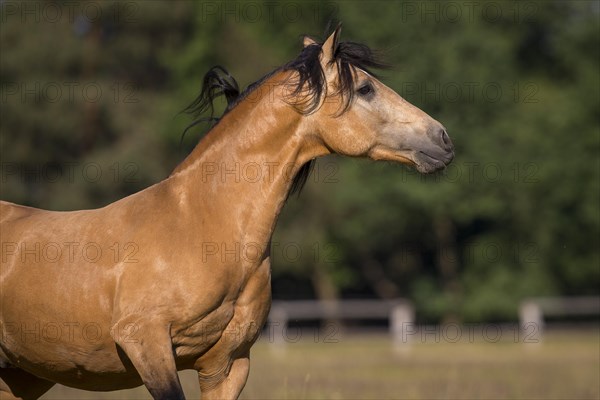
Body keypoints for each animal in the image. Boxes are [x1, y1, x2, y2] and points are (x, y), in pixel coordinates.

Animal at [0, 26, 450, 398]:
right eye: (365, 88)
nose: (443, 139)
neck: (203, 226)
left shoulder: (227, 365)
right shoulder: (147, 345)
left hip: (21, 376)